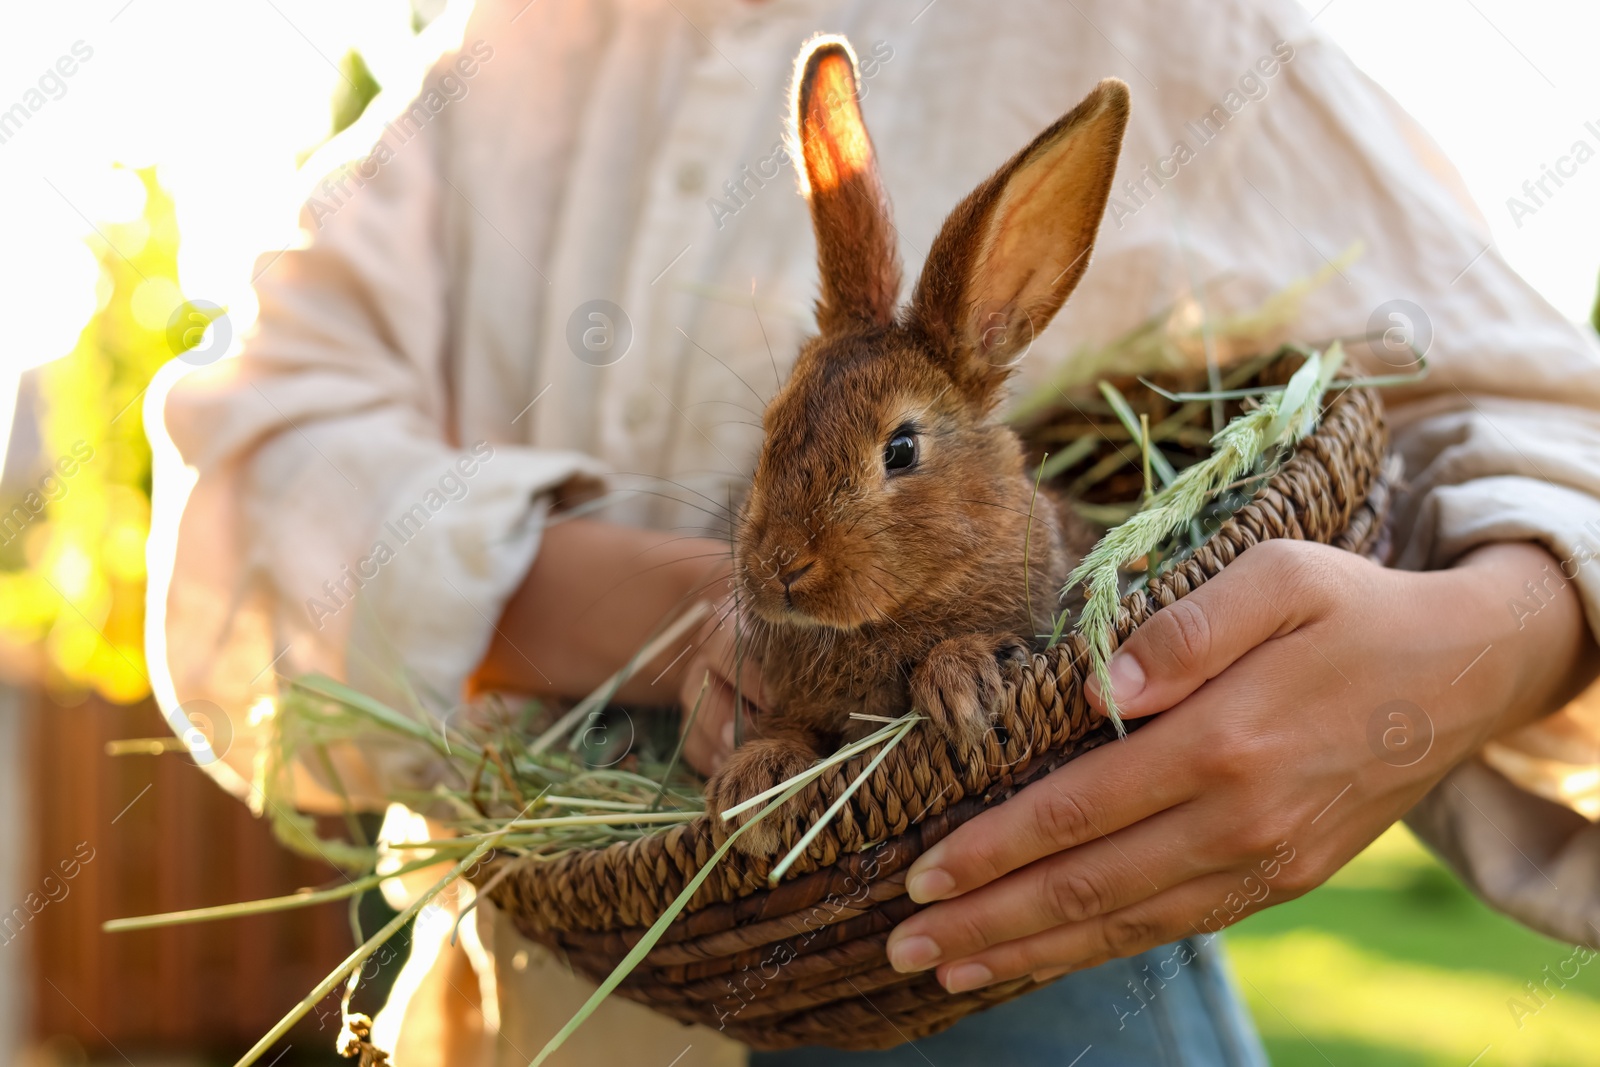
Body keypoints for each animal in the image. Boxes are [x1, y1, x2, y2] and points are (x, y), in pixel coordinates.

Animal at [713, 37, 1126, 857]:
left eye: (900, 449)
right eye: (773, 426)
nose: (779, 567)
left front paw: (961, 686)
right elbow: (789, 736)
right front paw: (751, 791)